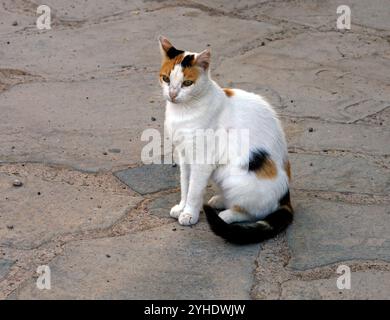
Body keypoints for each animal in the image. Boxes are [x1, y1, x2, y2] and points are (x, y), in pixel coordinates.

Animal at [158, 36, 292, 244]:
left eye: (187, 83)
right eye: (166, 79)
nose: (172, 94)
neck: (183, 112)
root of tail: (286, 198)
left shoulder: (202, 160)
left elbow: (194, 190)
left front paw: (189, 213)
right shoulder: (184, 155)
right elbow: (185, 184)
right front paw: (181, 207)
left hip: (235, 176)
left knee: (253, 212)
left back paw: (225, 215)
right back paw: (220, 200)